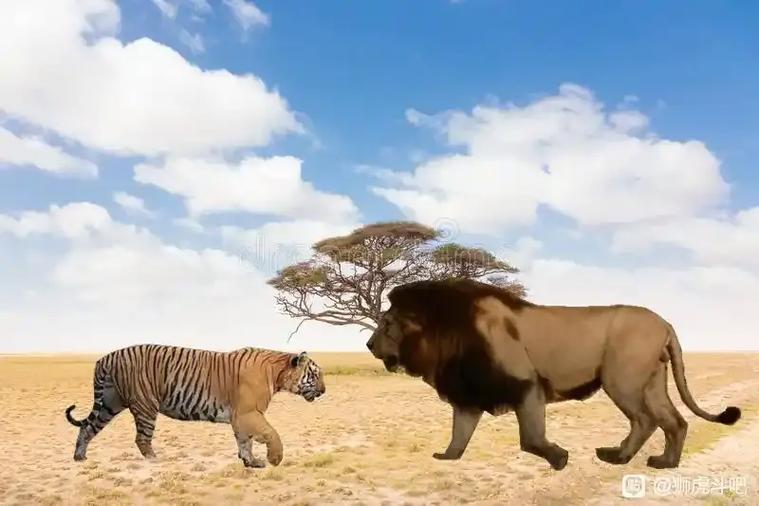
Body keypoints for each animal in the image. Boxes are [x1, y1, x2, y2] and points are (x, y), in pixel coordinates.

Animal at [65, 344, 326, 467]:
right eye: (314, 374)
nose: (324, 391)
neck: (277, 373)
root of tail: (104, 358)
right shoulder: (249, 413)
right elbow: (271, 433)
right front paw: (275, 459)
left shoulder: (241, 417)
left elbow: (245, 442)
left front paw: (250, 463)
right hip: (145, 405)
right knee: (141, 438)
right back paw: (154, 460)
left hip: (110, 403)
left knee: (87, 428)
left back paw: (79, 458)